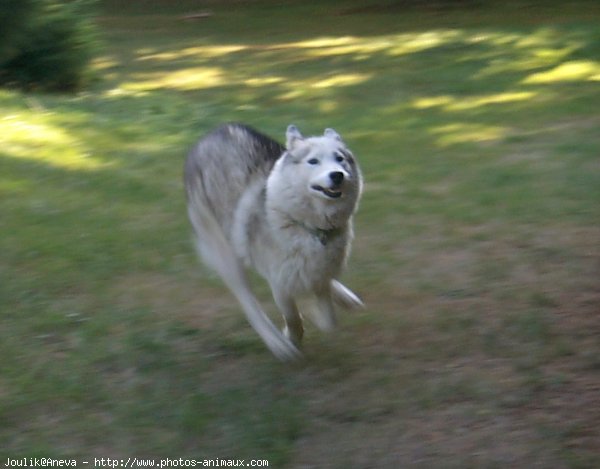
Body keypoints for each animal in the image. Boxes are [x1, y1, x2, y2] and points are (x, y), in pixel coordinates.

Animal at [184, 123, 360, 358]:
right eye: (313, 161)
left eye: (340, 158)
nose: (337, 175)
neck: (307, 227)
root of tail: (214, 131)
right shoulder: (279, 282)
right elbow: (293, 318)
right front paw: (290, 338)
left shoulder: (320, 270)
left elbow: (329, 317)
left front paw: (323, 310)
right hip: (226, 255)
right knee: (249, 304)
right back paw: (276, 342)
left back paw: (343, 296)